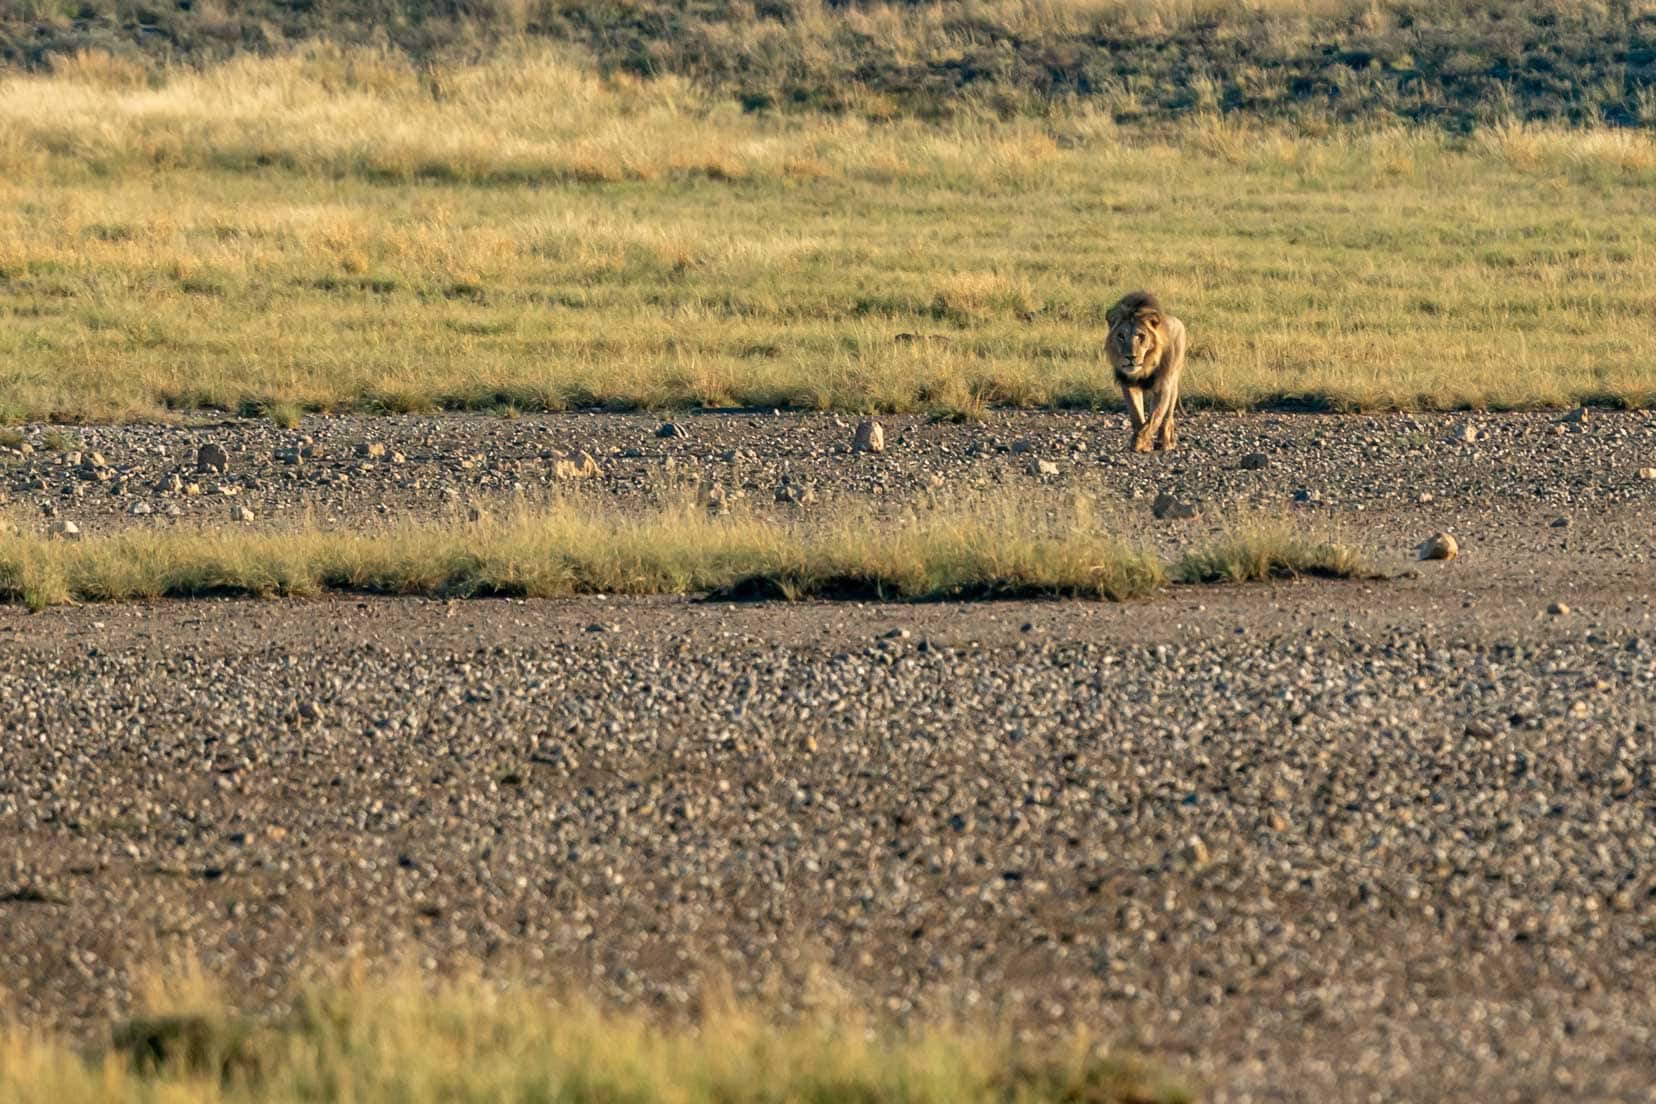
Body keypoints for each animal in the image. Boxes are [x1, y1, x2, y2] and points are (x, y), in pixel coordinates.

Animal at [1106, 291, 1185, 456]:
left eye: (1141, 336)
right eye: (1121, 336)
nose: (1130, 357)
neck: (1144, 367)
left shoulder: (1163, 385)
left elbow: (1155, 418)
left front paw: (1140, 443)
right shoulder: (1129, 384)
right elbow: (1137, 415)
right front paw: (1141, 442)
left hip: (1173, 380)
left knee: (1167, 417)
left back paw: (1165, 442)